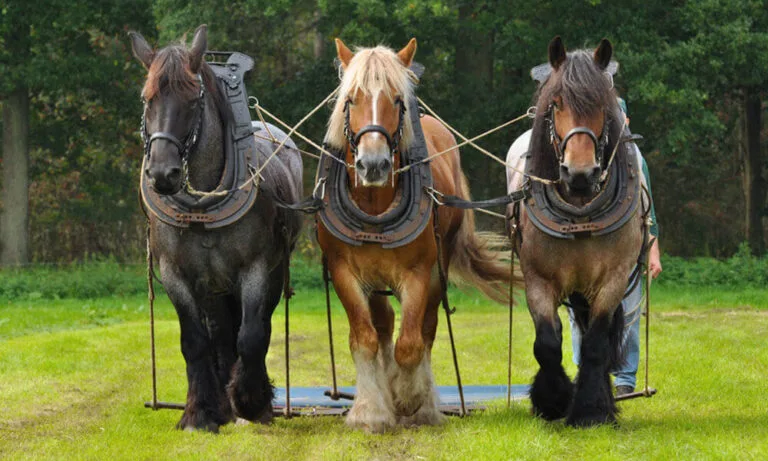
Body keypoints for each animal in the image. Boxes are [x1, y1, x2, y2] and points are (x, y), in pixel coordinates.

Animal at [129, 25, 302, 432]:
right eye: (146, 99)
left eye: (193, 101)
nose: (162, 174)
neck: (203, 206)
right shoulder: (176, 273)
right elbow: (195, 340)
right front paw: (200, 413)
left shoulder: (256, 269)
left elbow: (252, 336)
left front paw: (252, 402)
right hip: (213, 285)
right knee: (221, 335)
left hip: (267, 274)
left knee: (254, 327)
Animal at [317, 38, 512, 432]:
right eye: (351, 99)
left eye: (396, 99)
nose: (373, 164)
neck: (375, 204)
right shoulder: (346, 272)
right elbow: (365, 338)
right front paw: (371, 411)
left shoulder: (420, 272)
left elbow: (411, 343)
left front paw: (408, 398)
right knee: (383, 324)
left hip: (439, 268)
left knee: (426, 328)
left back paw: (421, 402)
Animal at [506, 37, 644, 426]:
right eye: (556, 103)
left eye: (600, 103)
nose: (579, 173)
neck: (581, 212)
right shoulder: (537, 279)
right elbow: (547, 344)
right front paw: (552, 400)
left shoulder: (612, 280)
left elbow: (596, 344)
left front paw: (592, 410)